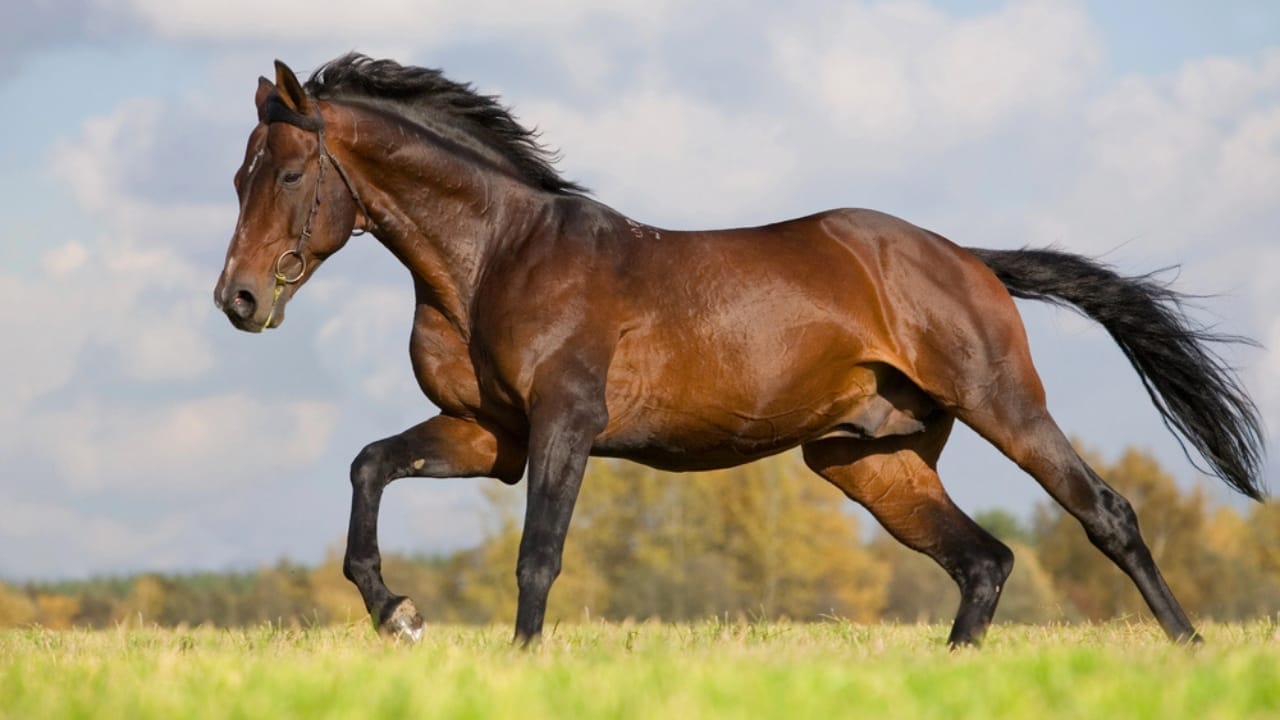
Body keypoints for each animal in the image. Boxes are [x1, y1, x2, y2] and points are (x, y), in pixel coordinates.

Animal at [214, 54, 1264, 647]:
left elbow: (538, 558)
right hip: (867, 460)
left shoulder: (564, 424)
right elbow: (369, 467)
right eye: (237, 176)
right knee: (983, 562)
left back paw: (1189, 649)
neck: (497, 257)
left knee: (1105, 515)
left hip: (1003, 405)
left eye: (292, 173)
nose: (238, 299)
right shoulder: (489, 435)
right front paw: (397, 614)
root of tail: (967, 259)